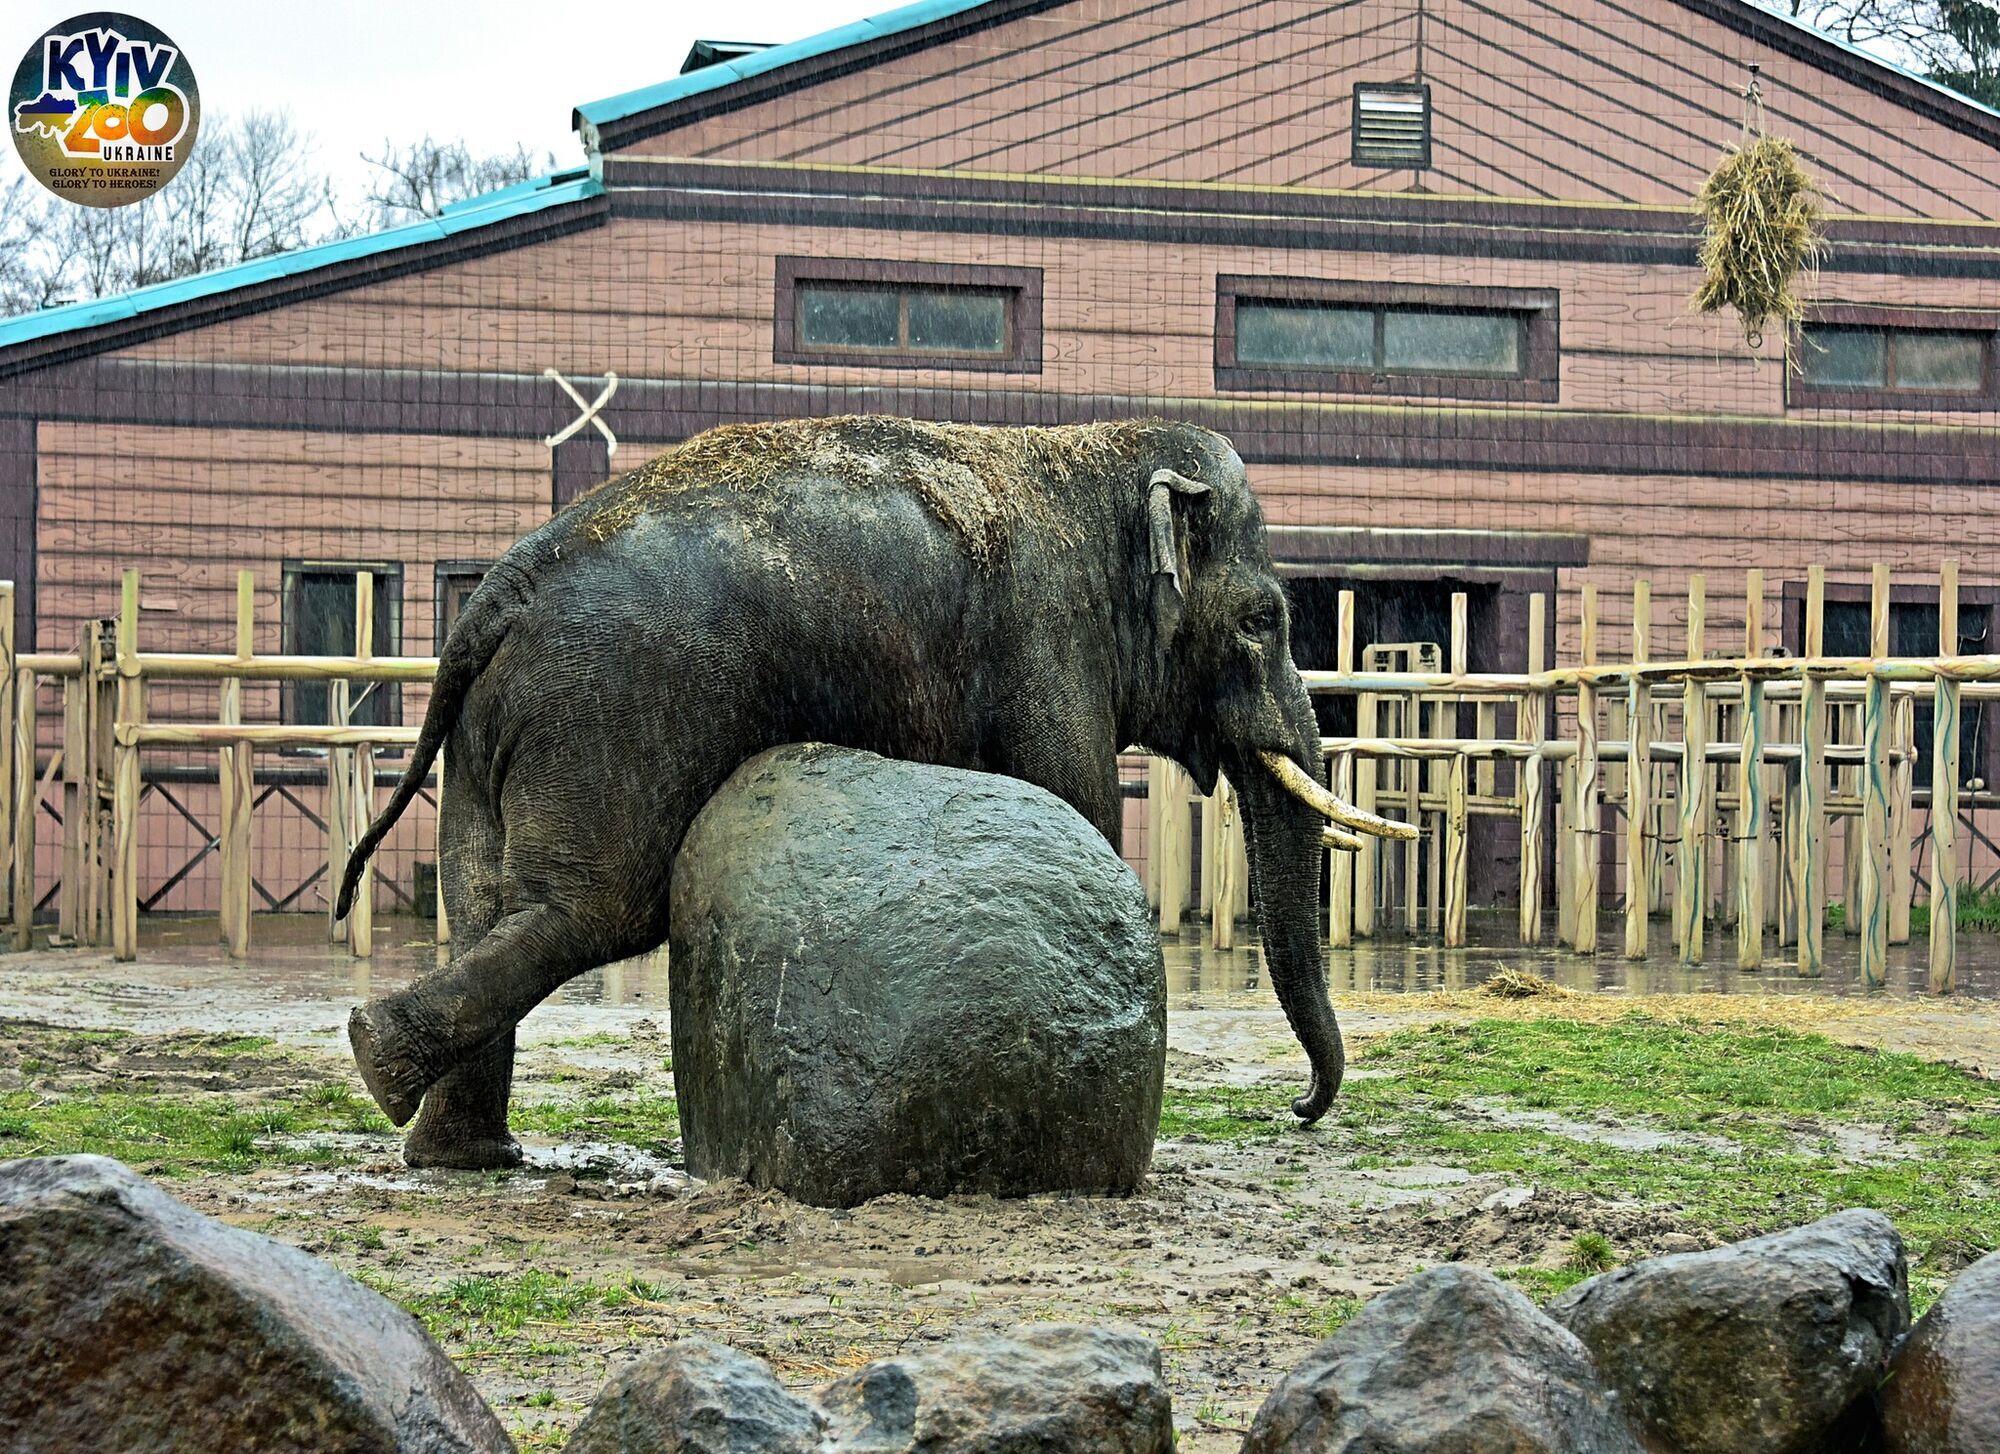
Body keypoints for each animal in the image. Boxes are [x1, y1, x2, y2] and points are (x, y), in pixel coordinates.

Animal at [336, 412, 1408, 1168]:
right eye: (1264, 620)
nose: (1296, 1110)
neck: (1092, 453)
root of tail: (498, 593)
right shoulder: (1049, 646)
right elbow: (1079, 810)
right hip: (610, 708)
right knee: (589, 909)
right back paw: (375, 1059)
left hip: (493, 732)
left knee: (488, 901)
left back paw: (461, 1154)